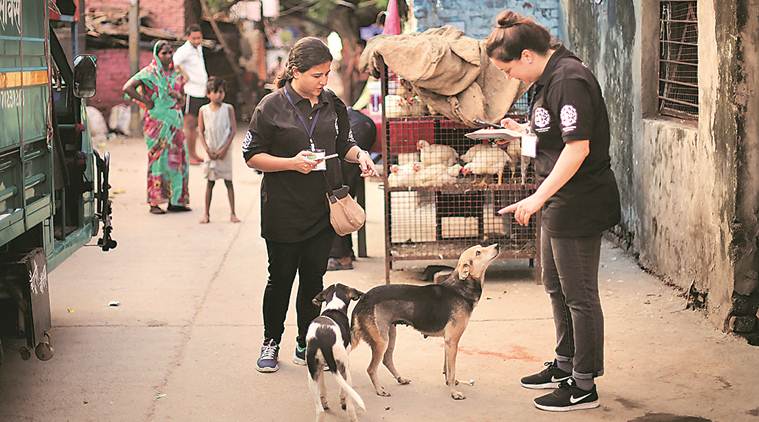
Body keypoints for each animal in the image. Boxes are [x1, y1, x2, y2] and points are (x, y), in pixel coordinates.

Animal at [308, 284, 368, 422]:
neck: (334, 307)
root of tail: (322, 339)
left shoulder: (321, 367)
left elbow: (323, 387)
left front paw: (324, 401)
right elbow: (343, 390)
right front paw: (342, 401)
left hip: (311, 374)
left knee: (320, 410)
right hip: (344, 368)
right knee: (350, 402)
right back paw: (352, 415)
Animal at [352, 244, 504, 398]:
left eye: (481, 247)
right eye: (478, 252)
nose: (497, 245)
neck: (460, 287)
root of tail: (363, 298)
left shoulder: (447, 341)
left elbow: (447, 369)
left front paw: (449, 383)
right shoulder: (452, 341)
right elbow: (452, 371)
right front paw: (454, 393)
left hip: (390, 335)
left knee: (386, 360)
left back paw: (401, 379)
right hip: (382, 341)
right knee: (371, 368)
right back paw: (379, 390)